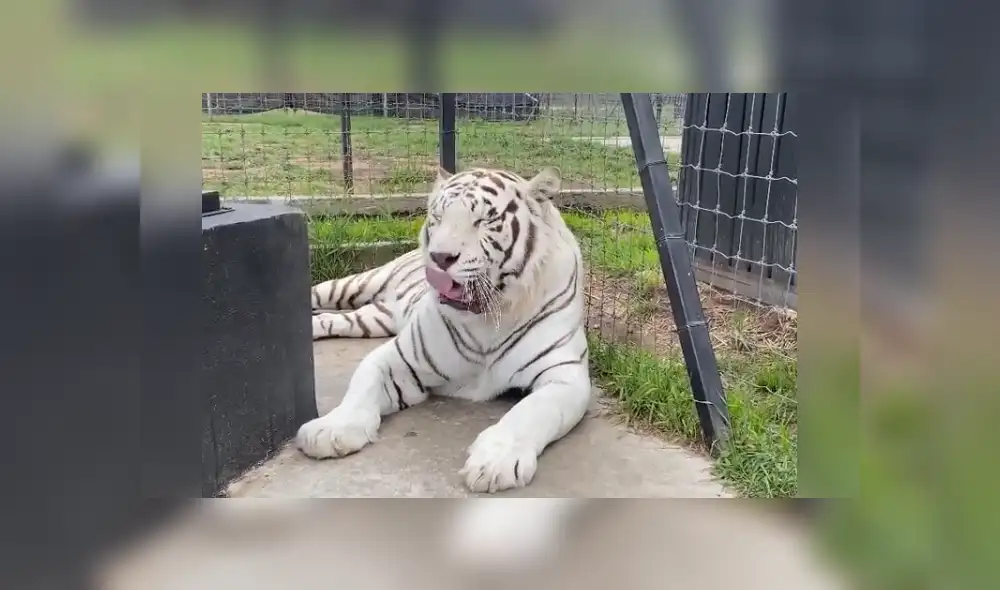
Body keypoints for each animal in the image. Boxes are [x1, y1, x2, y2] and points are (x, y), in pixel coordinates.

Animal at [297, 166, 592, 493]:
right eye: (437, 217)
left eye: (483, 220)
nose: (439, 257)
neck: (489, 318)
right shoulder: (399, 358)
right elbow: (362, 386)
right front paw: (331, 429)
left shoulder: (564, 375)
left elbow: (529, 412)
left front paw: (495, 462)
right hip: (354, 284)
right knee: (318, 294)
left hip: (372, 320)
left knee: (334, 319)